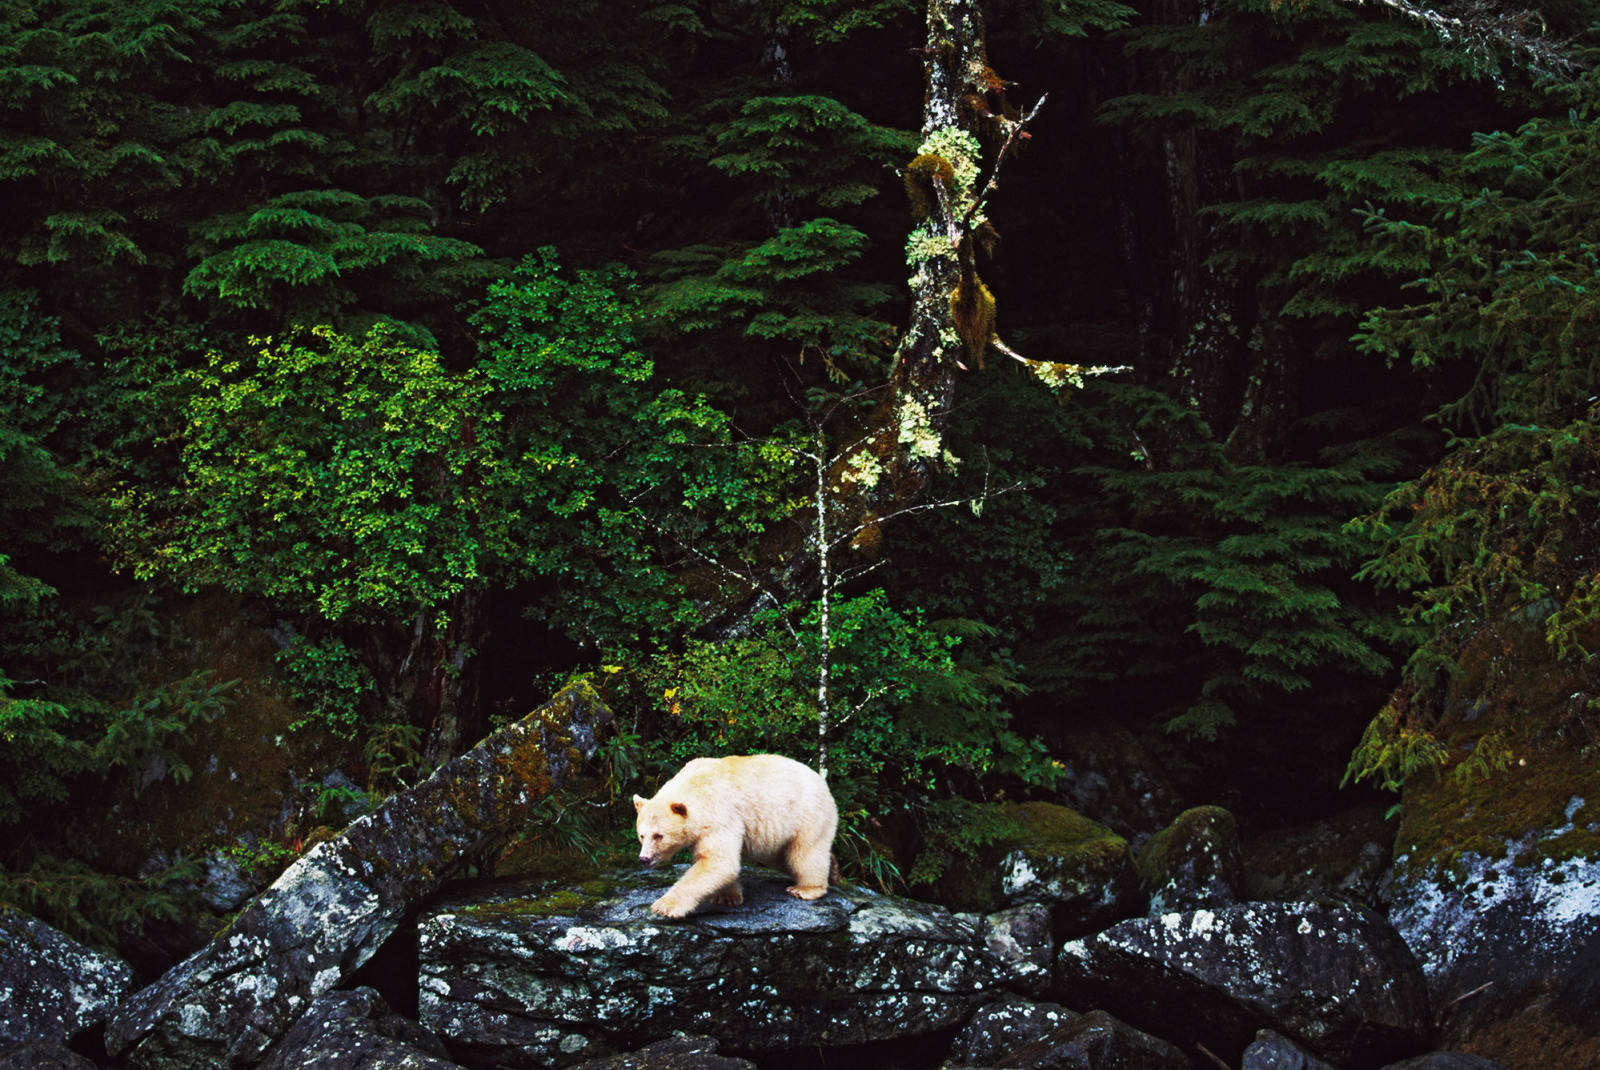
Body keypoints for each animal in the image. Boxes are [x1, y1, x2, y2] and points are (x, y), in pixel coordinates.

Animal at [633, 753, 838, 919]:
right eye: (642, 835)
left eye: (659, 836)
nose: (644, 859)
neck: (696, 784)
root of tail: (823, 783)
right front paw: (728, 897)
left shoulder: (719, 815)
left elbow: (719, 861)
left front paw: (663, 906)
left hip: (808, 814)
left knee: (805, 852)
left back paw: (807, 888)